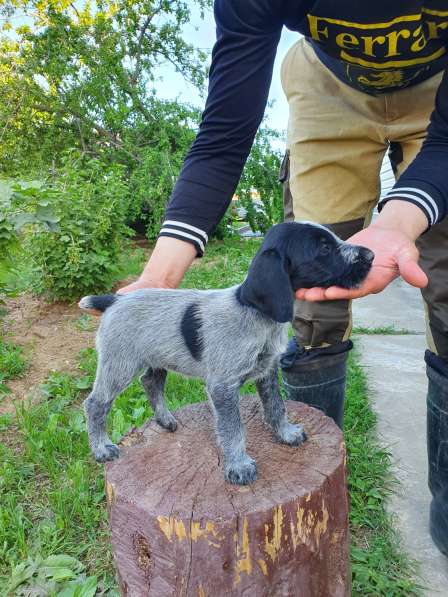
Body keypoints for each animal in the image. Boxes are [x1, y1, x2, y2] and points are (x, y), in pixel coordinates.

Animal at [80, 222, 374, 484]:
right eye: (324, 248)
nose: (371, 255)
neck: (257, 315)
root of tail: (114, 300)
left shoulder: (267, 372)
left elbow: (276, 407)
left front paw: (286, 433)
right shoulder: (223, 387)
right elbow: (233, 429)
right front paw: (239, 465)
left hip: (157, 359)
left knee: (150, 382)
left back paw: (164, 420)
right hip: (119, 365)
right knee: (96, 403)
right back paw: (101, 448)